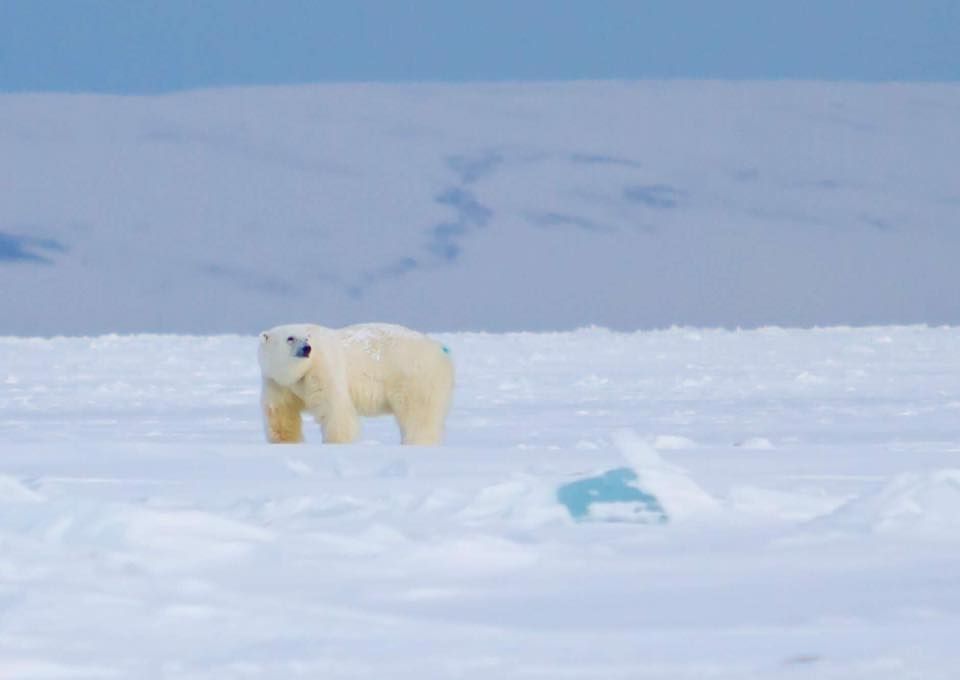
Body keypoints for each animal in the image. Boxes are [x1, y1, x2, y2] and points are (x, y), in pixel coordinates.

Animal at [257, 323, 454, 445]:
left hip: (415, 377)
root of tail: (440, 349)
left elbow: (334, 408)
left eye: (307, 338)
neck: (297, 374)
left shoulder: (322, 369)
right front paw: (285, 441)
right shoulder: (276, 382)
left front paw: (336, 442)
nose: (307, 348)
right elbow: (281, 412)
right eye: (290, 338)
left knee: (418, 414)